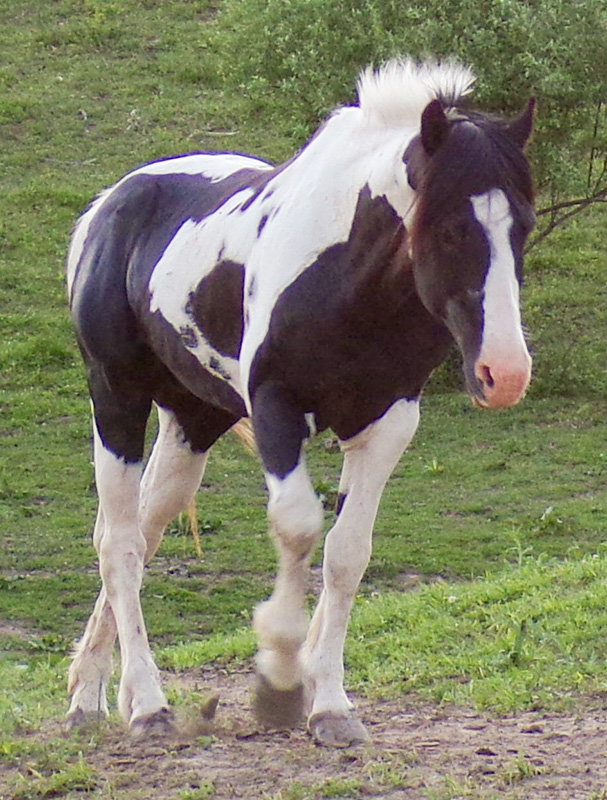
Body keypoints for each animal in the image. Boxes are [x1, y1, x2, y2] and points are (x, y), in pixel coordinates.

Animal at [65, 58, 535, 747]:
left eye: (523, 226)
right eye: (450, 228)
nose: (504, 373)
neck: (351, 286)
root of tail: (108, 206)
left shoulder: (389, 421)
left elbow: (347, 553)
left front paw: (330, 701)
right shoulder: (276, 410)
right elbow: (298, 528)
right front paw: (281, 681)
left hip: (193, 418)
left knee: (142, 531)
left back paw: (91, 693)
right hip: (117, 397)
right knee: (120, 545)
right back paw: (148, 705)